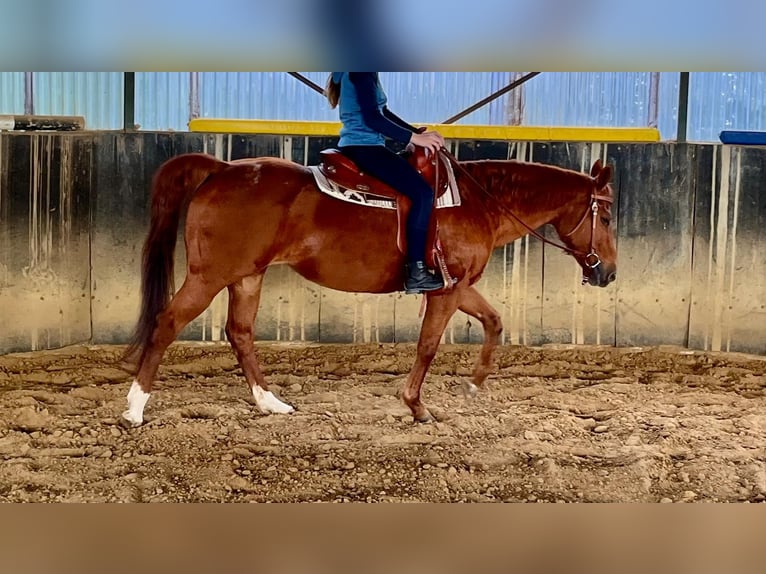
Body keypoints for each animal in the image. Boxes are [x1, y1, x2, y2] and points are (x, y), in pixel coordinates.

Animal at [122, 150, 616, 427]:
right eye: (608, 217)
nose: (608, 273)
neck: (478, 202)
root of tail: (221, 168)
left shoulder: (458, 286)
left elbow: (494, 322)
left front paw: (474, 385)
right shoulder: (446, 291)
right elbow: (428, 346)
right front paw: (416, 407)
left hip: (247, 276)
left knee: (240, 333)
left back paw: (270, 404)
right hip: (209, 276)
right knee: (167, 323)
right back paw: (134, 409)